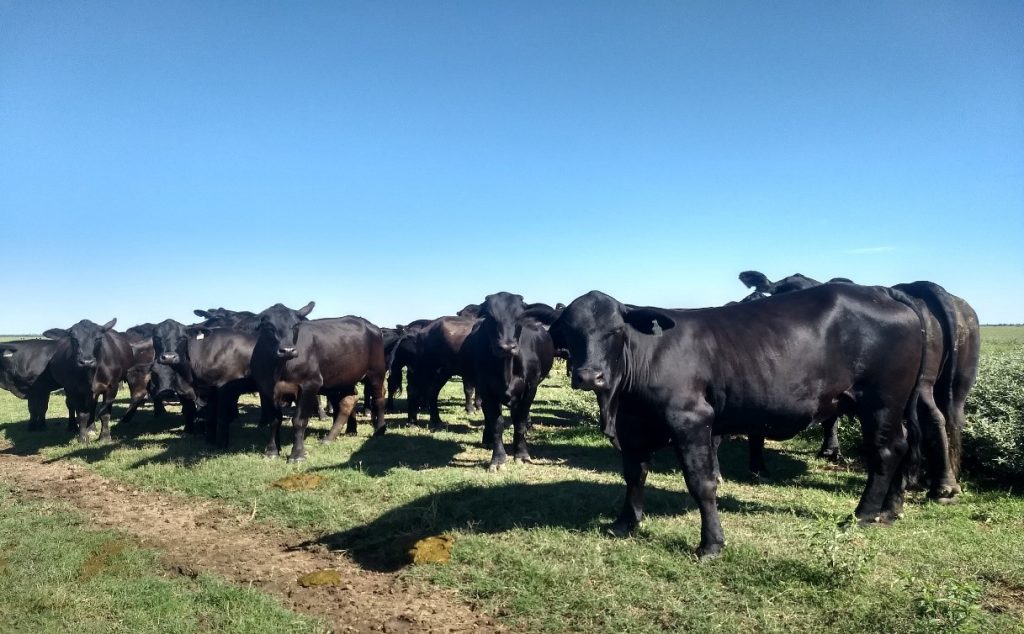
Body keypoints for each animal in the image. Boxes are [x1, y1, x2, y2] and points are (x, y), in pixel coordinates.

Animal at [256, 315, 387, 460]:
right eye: (268, 327)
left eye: (295, 327)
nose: (287, 350)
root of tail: (372, 327)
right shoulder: (266, 389)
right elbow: (274, 421)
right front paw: (272, 451)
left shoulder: (310, 386)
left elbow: (299, 420)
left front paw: (297, 454)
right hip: (344, 379)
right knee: (348, 402)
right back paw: (333, 436)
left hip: (376, 373)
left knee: (379, 399)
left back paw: (380, 429)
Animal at [460, 294, 552, 469]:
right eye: (489, 316)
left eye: (520, 316)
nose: (507, 347)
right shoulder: (486, 389)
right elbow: (496, 423)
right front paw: (498, 459)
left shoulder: (530, 388)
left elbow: (519, 420)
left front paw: (521, 454)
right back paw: (487, 438)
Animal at [552, 286, 929, 561]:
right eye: (568, 331)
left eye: (616, 331)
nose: (590, 376)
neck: (619, 402)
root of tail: (882, 291)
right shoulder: (633, 428)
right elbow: (634, 474)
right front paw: (625, 523)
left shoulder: (691, 420)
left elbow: (702, 483)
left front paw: (711, 544)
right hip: (894, 406)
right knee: (906, 444)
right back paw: (891, 509)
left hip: (880, 401)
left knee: (885, 451)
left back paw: (861, 515)